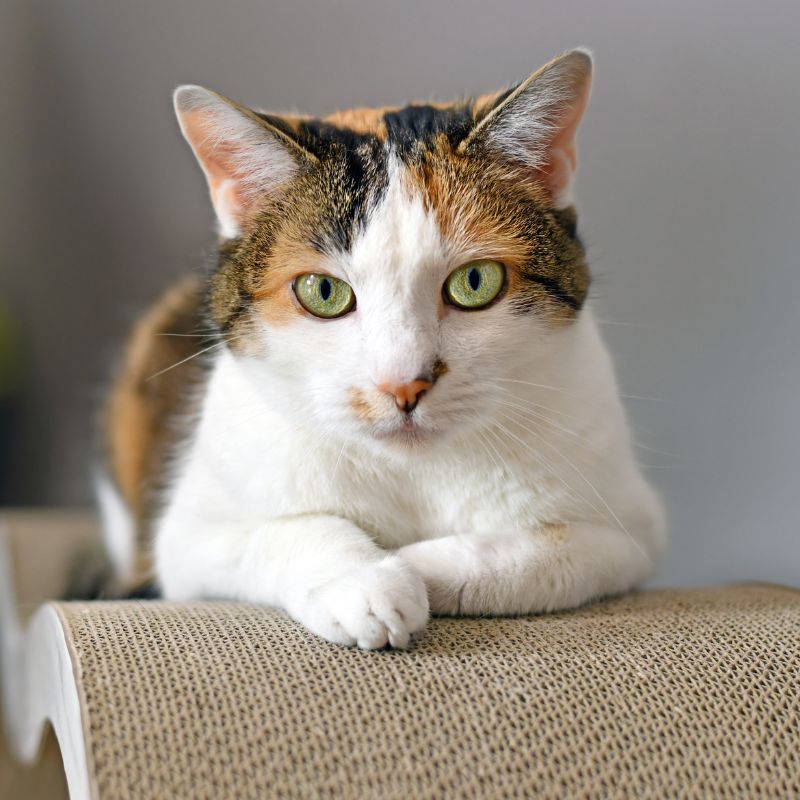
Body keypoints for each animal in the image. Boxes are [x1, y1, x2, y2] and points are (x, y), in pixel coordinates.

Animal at [97, 50, 664, 648]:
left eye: (475, 282)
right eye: (323, 292)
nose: (404, 384)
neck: (412, 474)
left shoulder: (631, 533)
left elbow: (535, 549)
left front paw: (414, 567)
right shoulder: (188, 540)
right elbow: (292, 529)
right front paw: (366, 581)